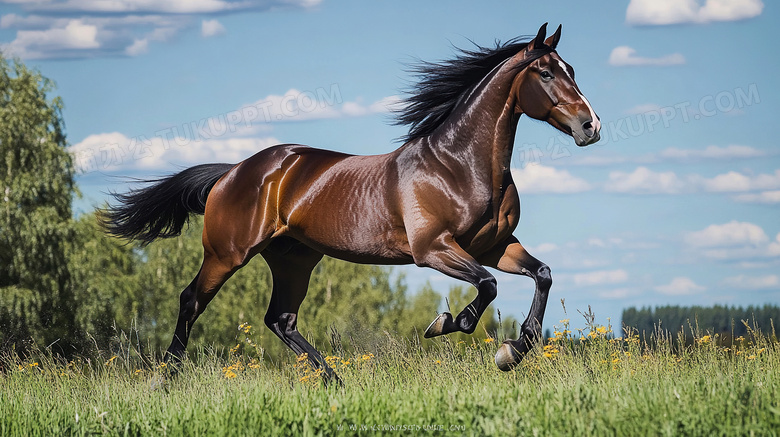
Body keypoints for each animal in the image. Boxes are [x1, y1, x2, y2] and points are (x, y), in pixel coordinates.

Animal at [102, 23, 604, 382]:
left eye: (573, 70)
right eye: (545, 73)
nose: (591, 126)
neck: (457, 165)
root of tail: (233, 171)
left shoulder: (495, 246)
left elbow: (542, 275)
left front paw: (512, 351)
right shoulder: (434, 249)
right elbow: (487, 286)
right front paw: (445, 323)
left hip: (294, 259)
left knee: (281, 319)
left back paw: (334, 382)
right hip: (227, 253)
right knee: (191, 301)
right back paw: (165, 379)